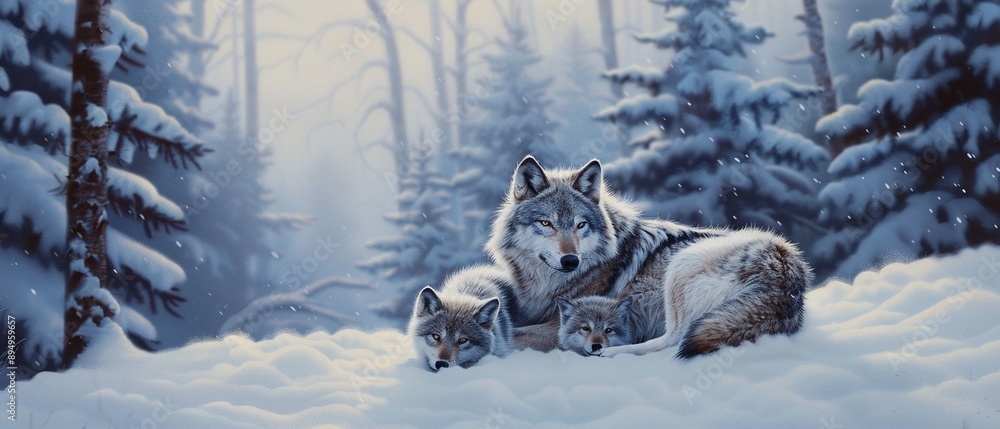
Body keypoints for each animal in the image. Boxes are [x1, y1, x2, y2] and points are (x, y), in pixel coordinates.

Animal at [487, 156, 811, 358]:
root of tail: (788, 270)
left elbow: (513, 335)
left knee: (673, 340)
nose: (571, 261)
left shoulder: (559, 325)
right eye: (546, 223)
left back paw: (608, 352)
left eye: (580, 225)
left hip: (682, 265)